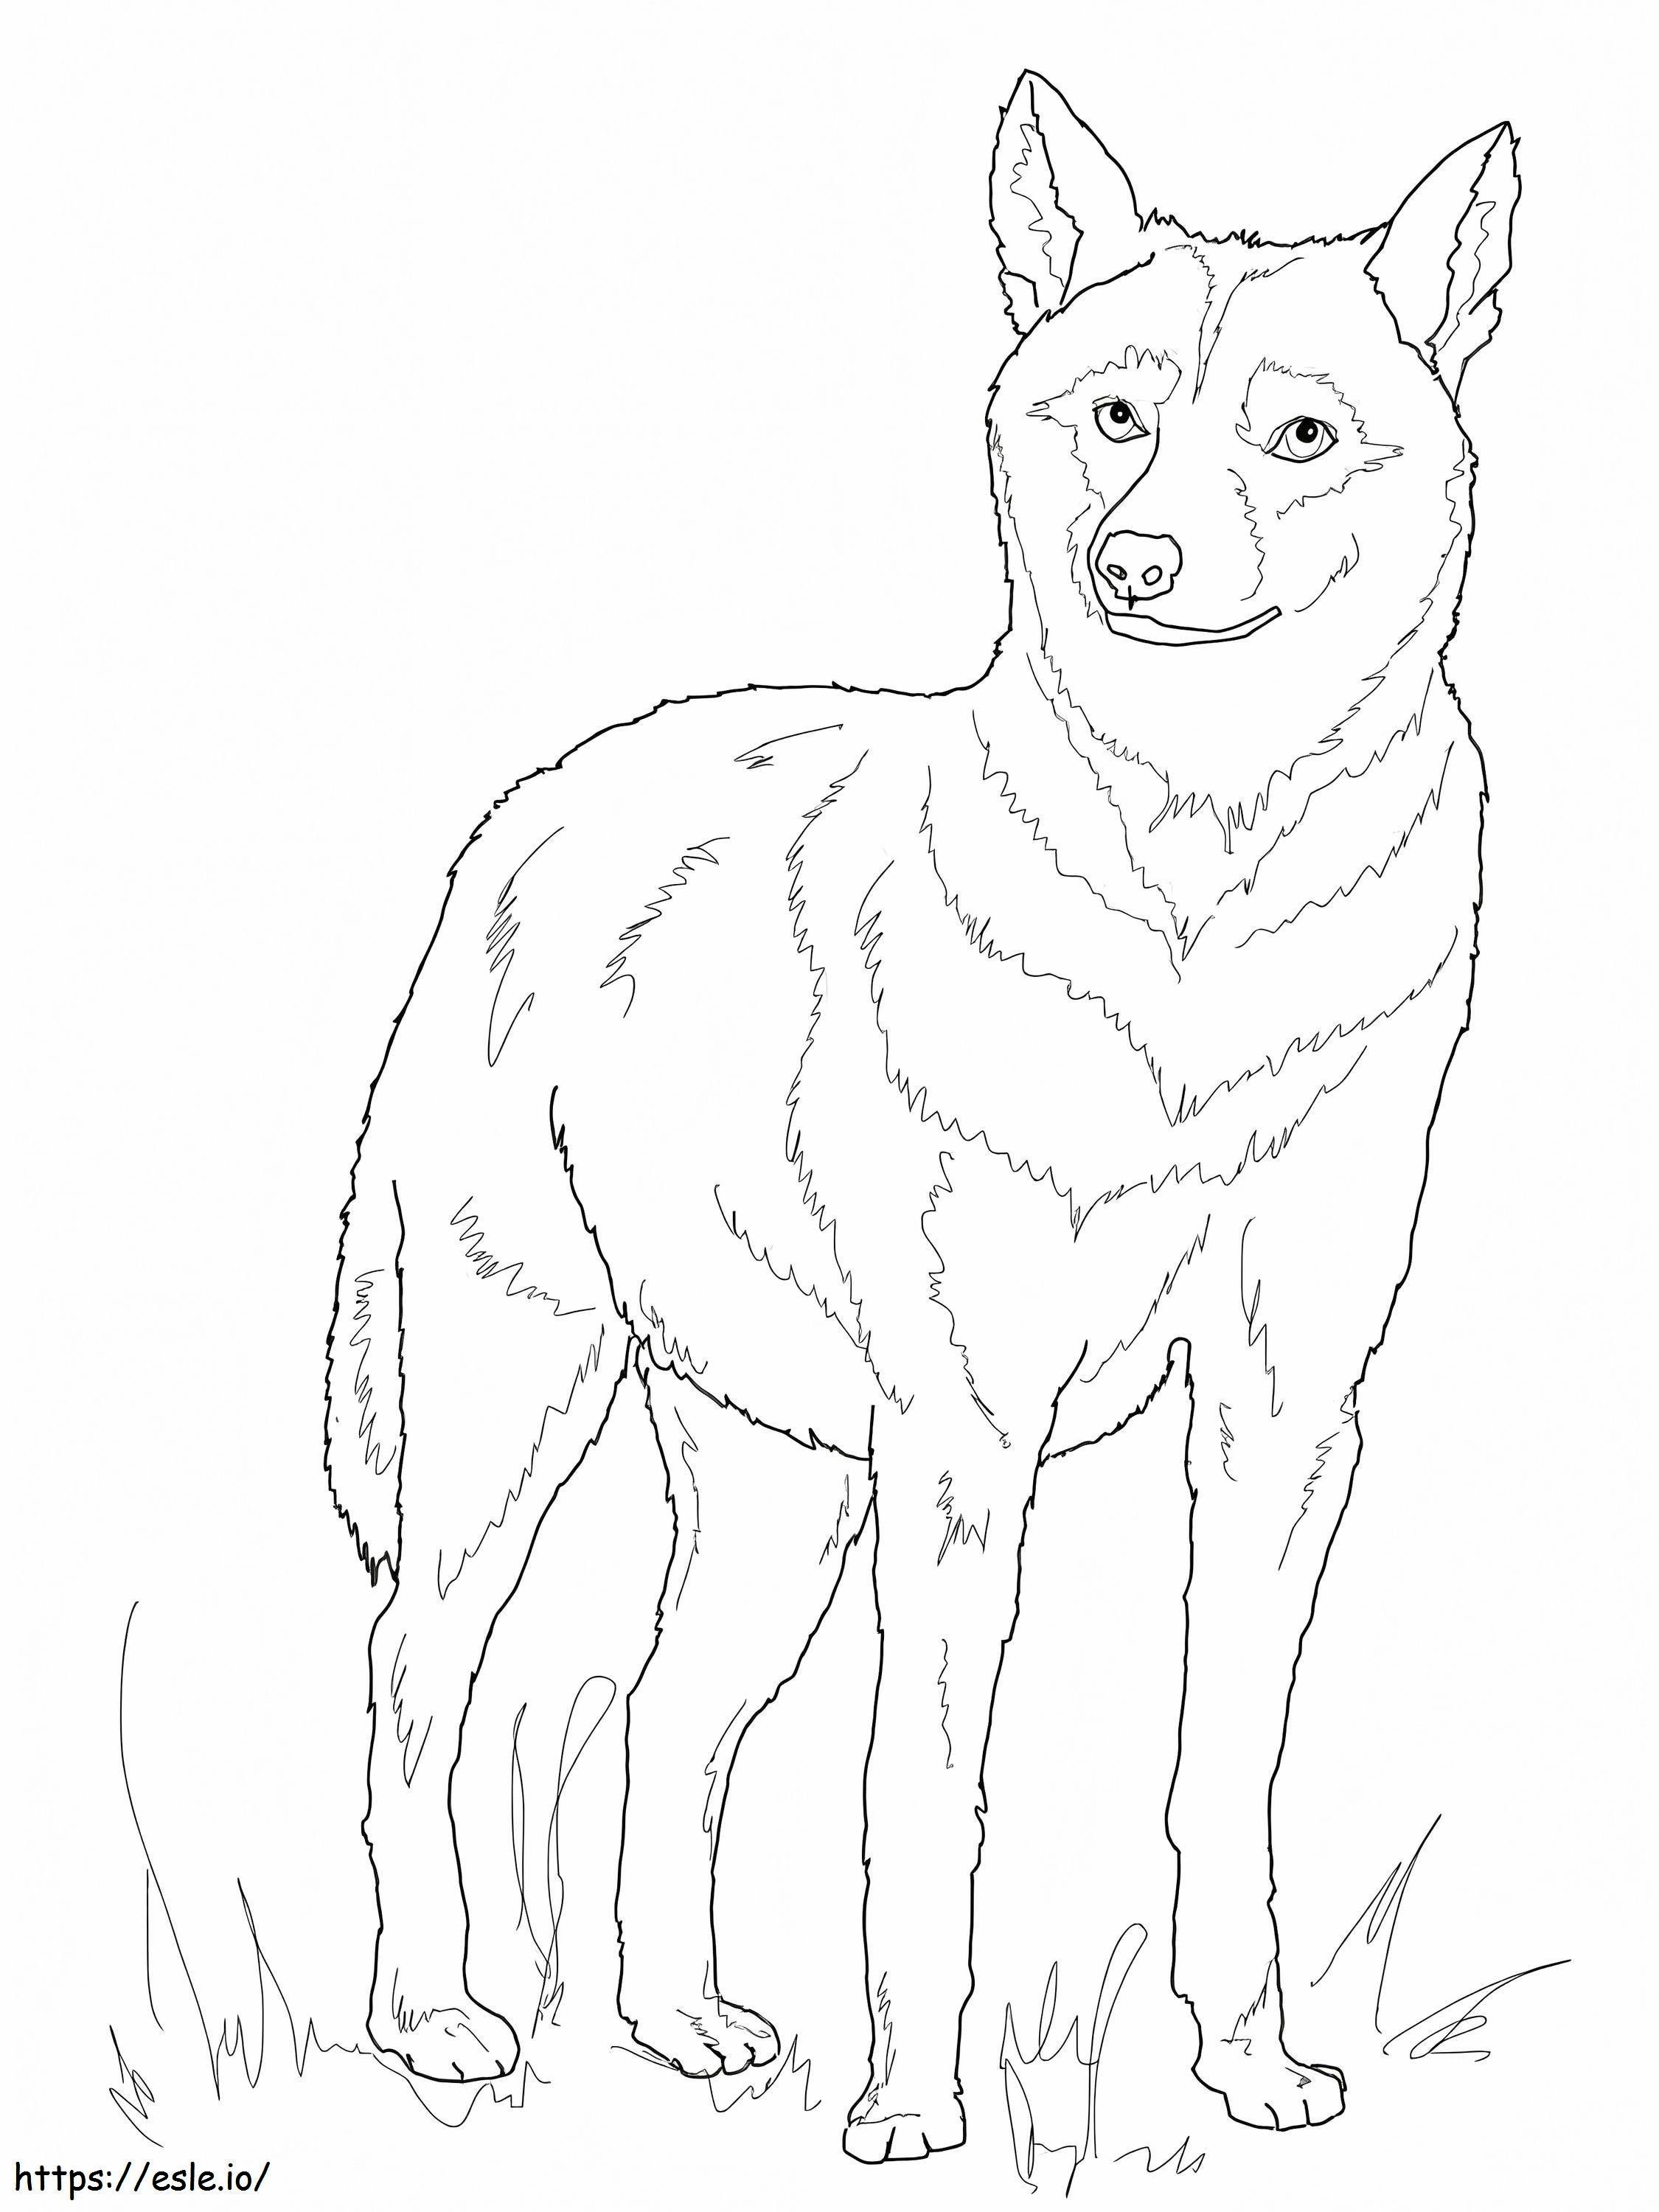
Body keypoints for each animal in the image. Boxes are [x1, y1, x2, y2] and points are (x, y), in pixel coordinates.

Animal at [324, 73, 1518, 2162]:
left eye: (1299, 435)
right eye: (1114, 414)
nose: (1135, 566)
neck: (1198, 893)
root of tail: (527, 814)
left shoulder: (1279, 1426)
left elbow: (1225, 1774)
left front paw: (1245, 2061)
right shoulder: (965, 1448)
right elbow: (927, 1807)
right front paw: (912, 2110)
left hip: (777, 1494)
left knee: (660, 1711)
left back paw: (675, 2021)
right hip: (517, 1407)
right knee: (416, 1681)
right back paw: (439, 2019)